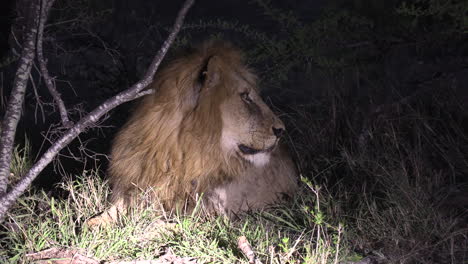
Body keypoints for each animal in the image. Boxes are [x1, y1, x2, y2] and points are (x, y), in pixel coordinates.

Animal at [87, 40, 298, 226]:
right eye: (245, 97)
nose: (281, 130)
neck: (178, 155)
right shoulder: (134, 191)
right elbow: (103, 215)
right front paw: (89, 228)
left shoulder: (209, 213)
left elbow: (159, 225)